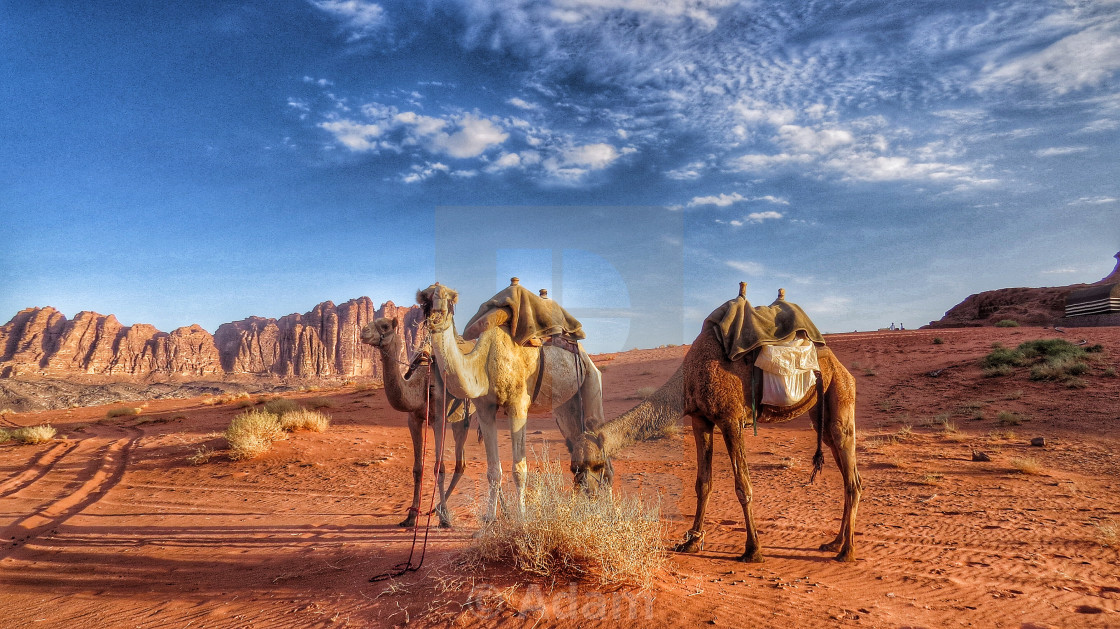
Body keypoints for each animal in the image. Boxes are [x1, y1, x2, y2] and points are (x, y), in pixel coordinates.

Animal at [360, 315, 470, 526]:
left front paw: (445, 519)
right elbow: (418, 469)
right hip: (458, 419)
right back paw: (435, 509)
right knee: (461, 463)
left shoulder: (438, 420)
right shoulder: (414, 420)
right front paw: (410, 517)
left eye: (385, 326)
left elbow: (439, 468)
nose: (363, 332)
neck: (422, 385)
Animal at [414, 282, 604, 517]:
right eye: (425, 300)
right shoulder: (485, 409)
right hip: (566, 404)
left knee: (599, 438)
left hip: (591, 378)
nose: (436, 316)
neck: (484, 362)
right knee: (575, 440)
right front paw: (489, 517)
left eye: (450, 300)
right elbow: (493, 470)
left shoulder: (518, 406)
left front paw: (521, 517)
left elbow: (519, 469)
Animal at [573, 286, 860, 559]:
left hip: (841, 392)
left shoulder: (731, 419)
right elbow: (703, 483)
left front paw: (753, 551)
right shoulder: (701, 419)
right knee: (846, 469)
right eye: (572, 467)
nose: (582, 496)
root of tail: (838, 363)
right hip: (821, 412)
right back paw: (835, 543)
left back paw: (846, 551)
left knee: (850, 473)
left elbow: (743, 486)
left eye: (594, 465)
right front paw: (691, 542)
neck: (688, 378)